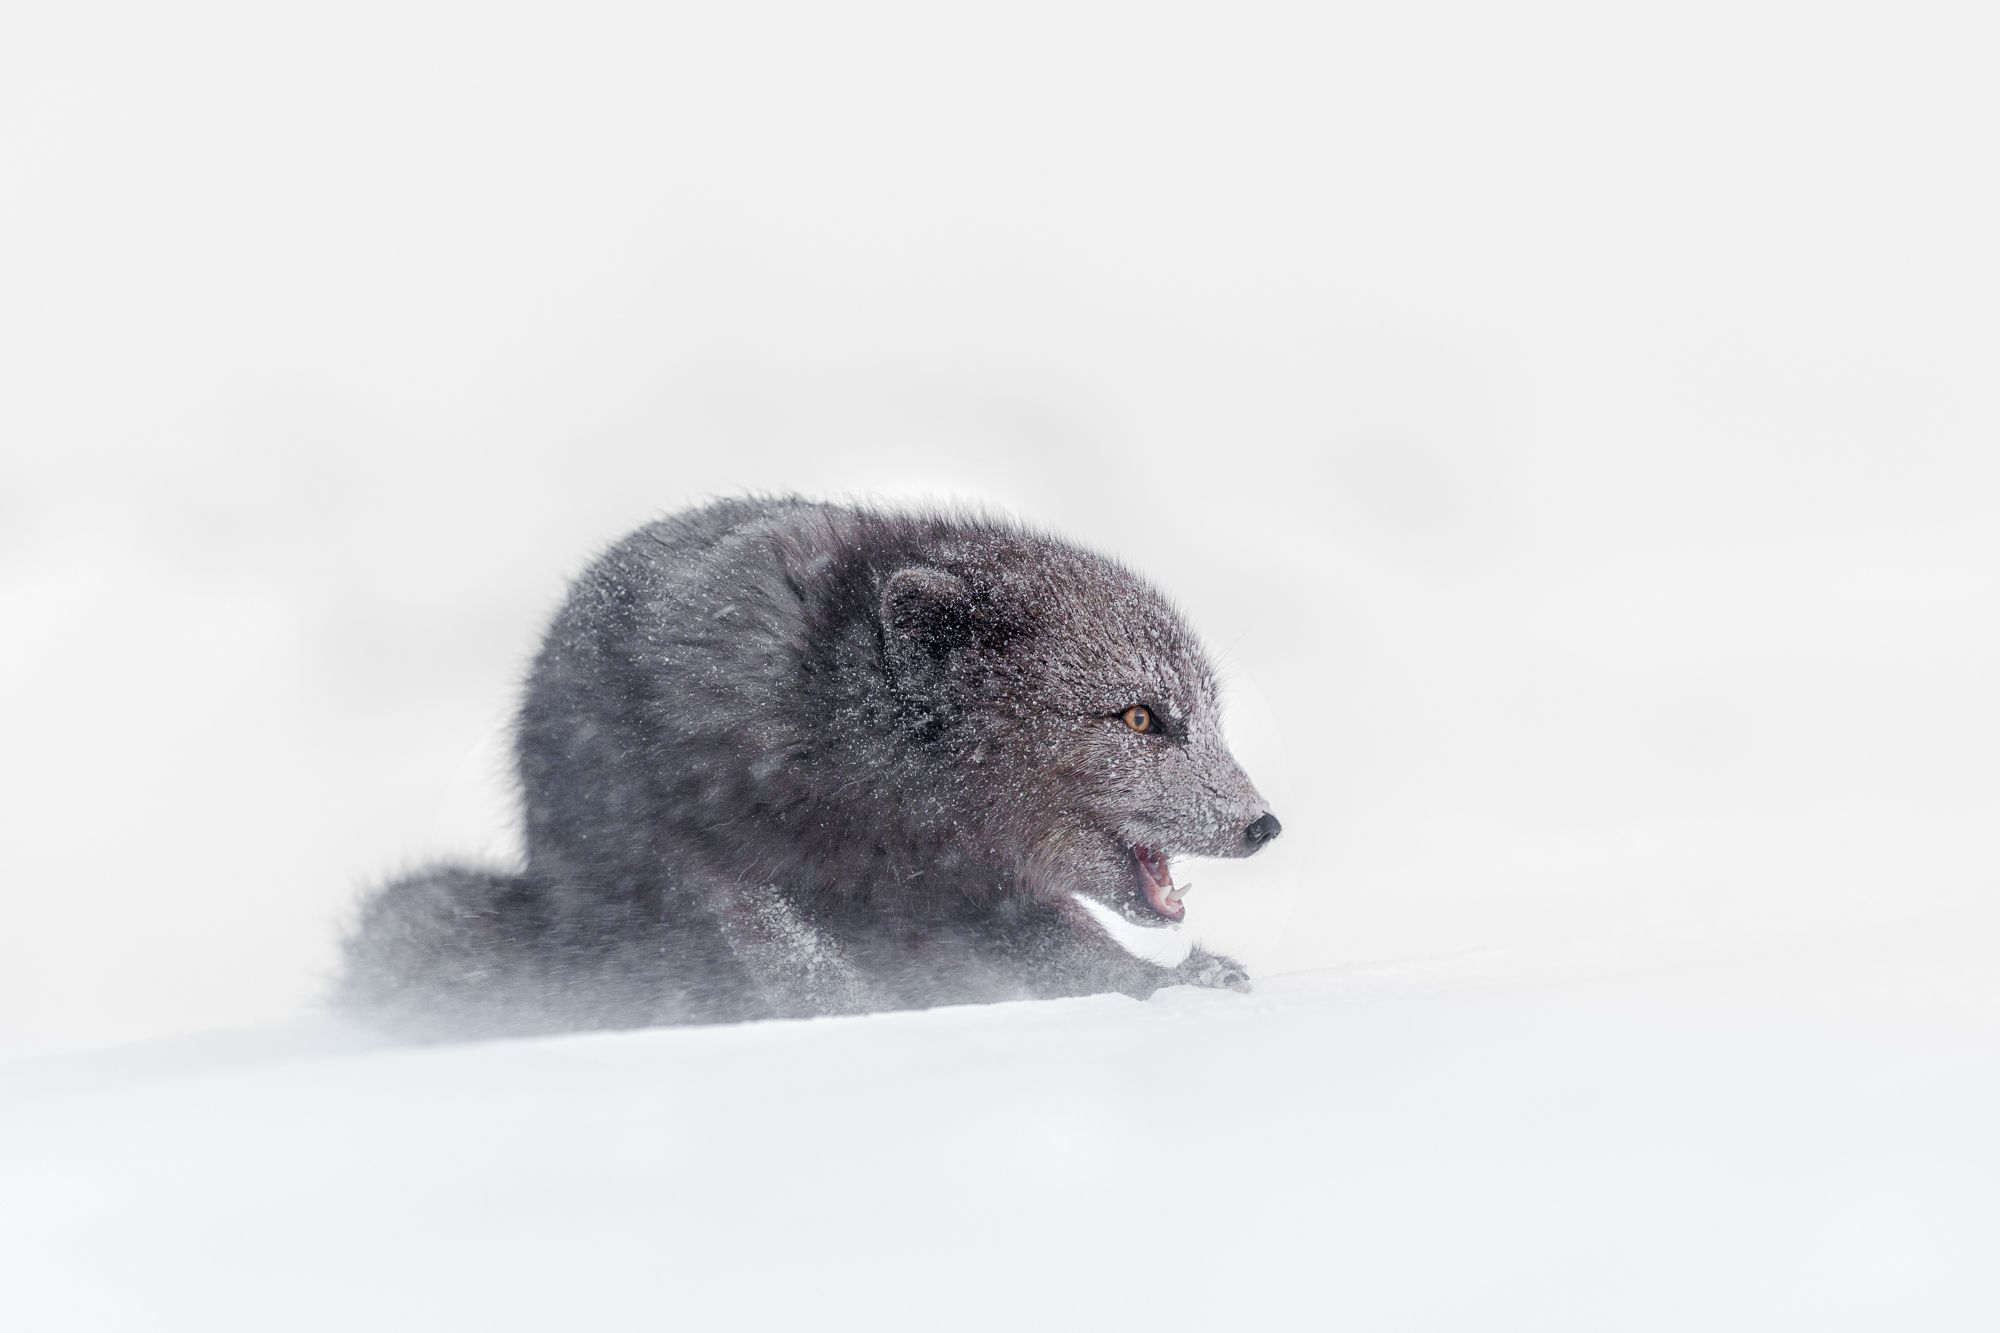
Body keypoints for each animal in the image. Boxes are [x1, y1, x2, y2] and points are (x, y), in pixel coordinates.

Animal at [338, 497, 1282, 1038]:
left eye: (1208, 716)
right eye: (1141, 717)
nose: (1264, 824)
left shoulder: (989, 892)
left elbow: (1085, 958)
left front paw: (1185, 984)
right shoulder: (710, 851)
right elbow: (796, 956)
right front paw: (863, 1022)